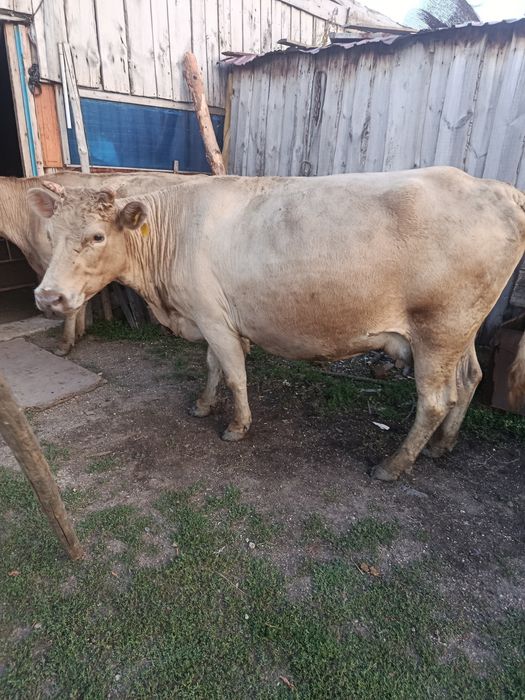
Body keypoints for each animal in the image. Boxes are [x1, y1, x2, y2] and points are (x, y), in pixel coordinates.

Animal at [27, 167, 525, 481]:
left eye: (97, 236)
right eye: (50, 234)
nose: (48, 297)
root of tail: (495, 188)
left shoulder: (213, 317)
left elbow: (234, 373)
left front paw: (237, 426)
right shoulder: (211, 317)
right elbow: (212, 366)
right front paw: (203, 405)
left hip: (438, 331)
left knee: (435, 401)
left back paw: (393, 466)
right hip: (460, 329)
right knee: (471, 378)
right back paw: (443, 445)